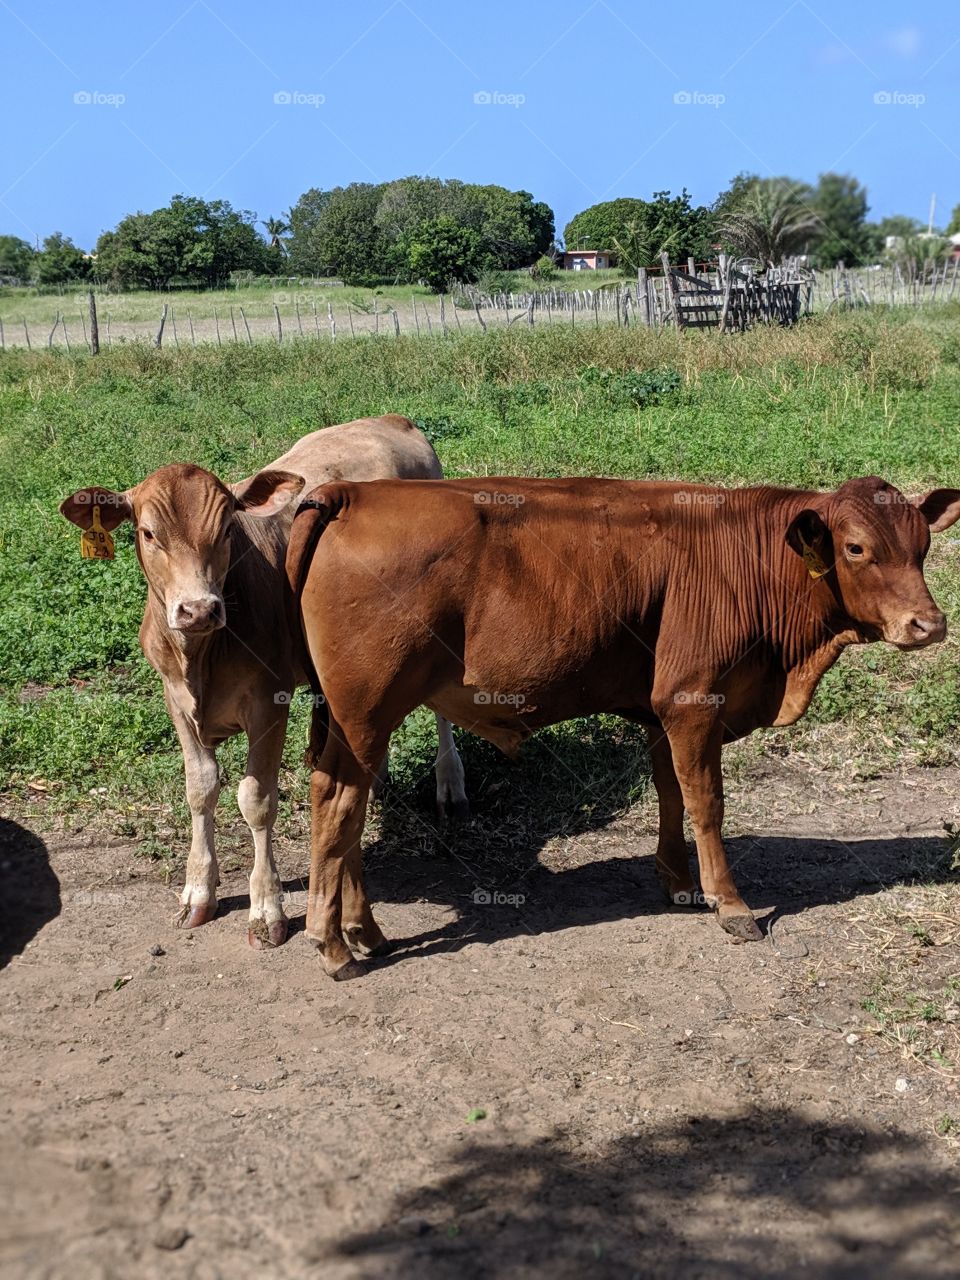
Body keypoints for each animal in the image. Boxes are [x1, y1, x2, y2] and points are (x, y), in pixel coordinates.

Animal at [59, 416, 468, 948]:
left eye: (226, 529)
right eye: (147, 533)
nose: (198, 608)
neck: (200, 657)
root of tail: (390, 421)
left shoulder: (269, 700)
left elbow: (256, 800)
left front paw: (266, 908)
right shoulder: (174, 698)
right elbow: (200, 789)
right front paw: (198, 892)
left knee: (440, 711)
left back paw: (450, 783)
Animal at [286, 474, 960, 980]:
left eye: (923, 545)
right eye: (856, 548)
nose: (928, 624)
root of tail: (352, 491)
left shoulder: (661, 710)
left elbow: (670, 793)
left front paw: (679, 882)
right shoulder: (694, 701)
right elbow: (707, 802)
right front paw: (730, 903)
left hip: (352, 721)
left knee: (348, 810)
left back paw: (364, 929)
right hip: (366, 713)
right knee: (337, 804)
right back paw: (335, 945)